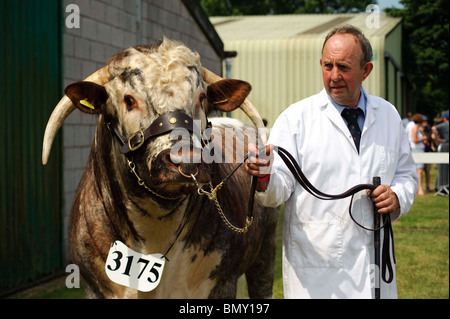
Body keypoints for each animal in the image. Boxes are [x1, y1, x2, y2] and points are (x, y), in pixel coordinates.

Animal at [44, 38, 280, 300]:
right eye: (129, 100)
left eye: (201, 97)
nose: (186, 159)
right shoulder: (94, 288)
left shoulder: (222, 283)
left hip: (266, 250)